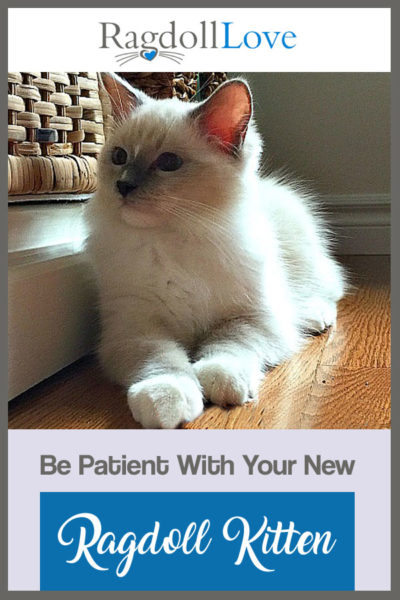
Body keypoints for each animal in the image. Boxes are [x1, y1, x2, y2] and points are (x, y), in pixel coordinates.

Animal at [87, 74, 344, 426]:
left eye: (169, 163)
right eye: (119, 157)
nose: (123, 185)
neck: (175, 238)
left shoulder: (250, 317)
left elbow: (229, 347)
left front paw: (223, 383)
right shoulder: (135, 328)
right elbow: (162, 361)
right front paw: (166, 399)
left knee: (325, 291)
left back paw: (313, 317)